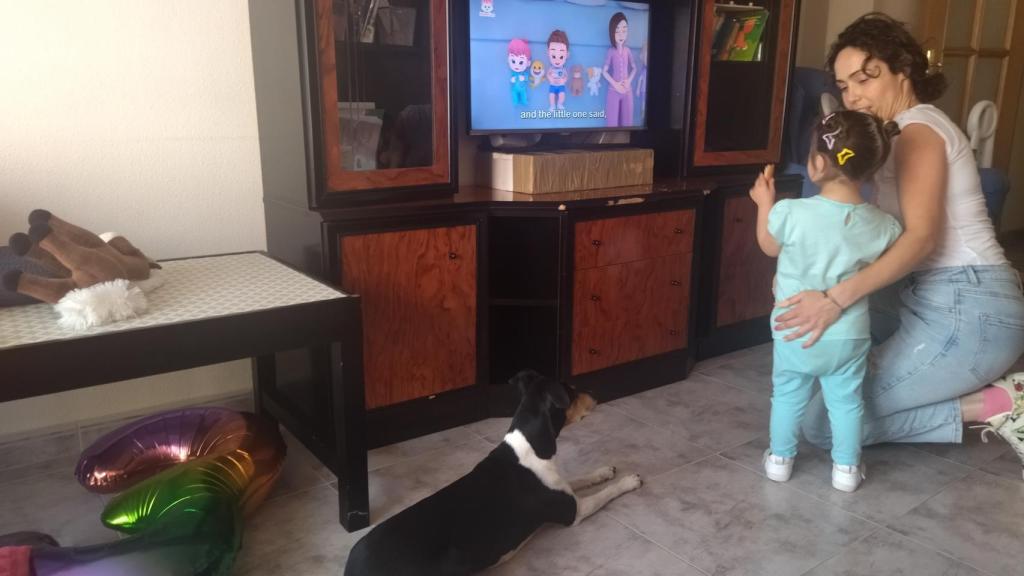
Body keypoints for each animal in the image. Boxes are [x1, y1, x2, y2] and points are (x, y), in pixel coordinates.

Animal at [348, 368, 643, 569]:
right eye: (570, 391)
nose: (596, 394)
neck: (532, 445)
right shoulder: (574, 511)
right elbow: (605, 494)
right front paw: (629, 480)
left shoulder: (561, 486)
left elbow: (580, 478)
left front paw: (604, 472)